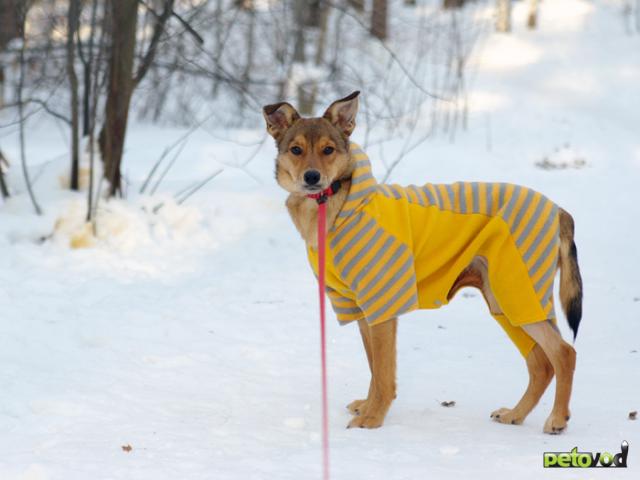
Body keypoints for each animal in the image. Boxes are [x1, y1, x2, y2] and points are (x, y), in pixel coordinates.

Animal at [262, 91, 584, 436]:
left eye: (328, 150)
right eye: (296, 150)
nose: (312, 177)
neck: (332, 205)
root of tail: (557, 210)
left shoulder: (382, 305)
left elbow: (383, 373)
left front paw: (372, 419)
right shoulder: (360, 308)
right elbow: (375, 367)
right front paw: (368, 406)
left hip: (519, 293)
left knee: (564, 354)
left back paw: (557, 419)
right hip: (507, 301)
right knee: (540, 364)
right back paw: (515, 414)